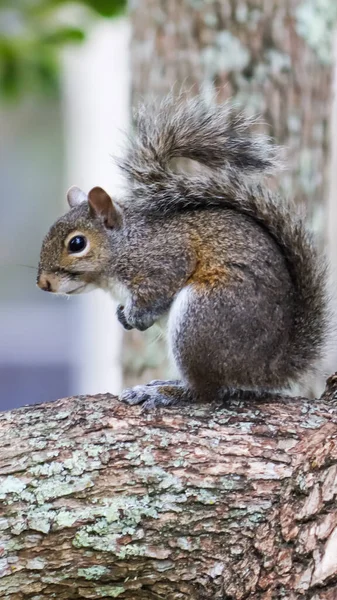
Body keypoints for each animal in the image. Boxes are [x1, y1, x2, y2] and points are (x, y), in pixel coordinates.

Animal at [36, 96, 328, 410]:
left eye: (77, 244)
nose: (43, 283)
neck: (125, 246)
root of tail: (267, 368)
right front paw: (122, 316)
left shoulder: (165, 258)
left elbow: (160, 288)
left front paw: (136, 316)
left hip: (202, 318)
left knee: (205, 392)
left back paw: (163, 392)